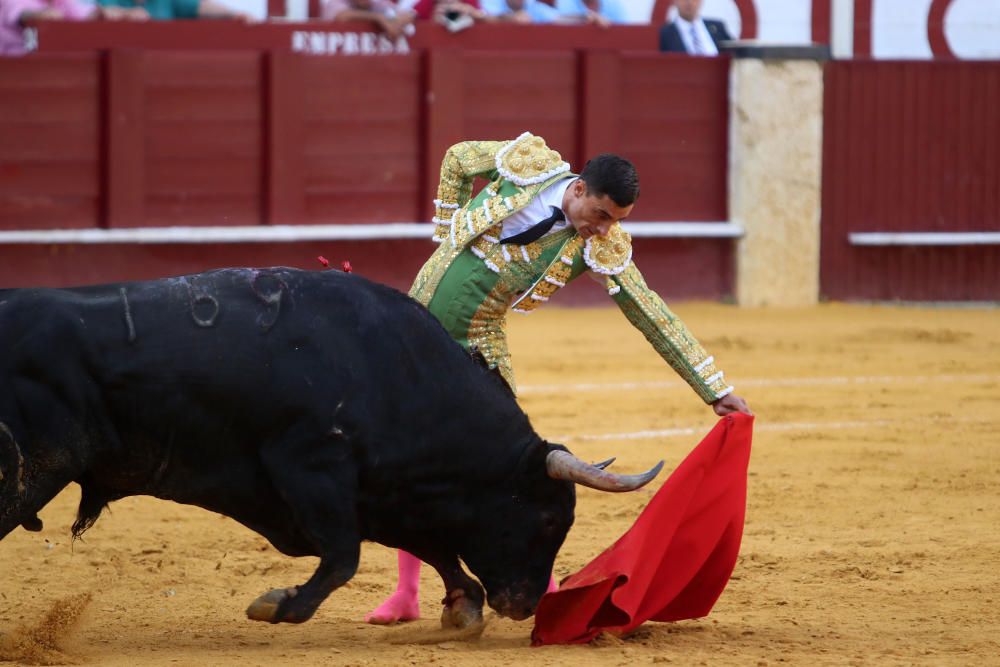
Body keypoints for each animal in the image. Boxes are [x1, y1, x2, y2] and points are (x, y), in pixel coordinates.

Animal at [1, 266, 664, 628]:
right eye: (550, 518)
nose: (524, 605)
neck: (398, 373)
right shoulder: (311, 467)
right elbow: (345, 556)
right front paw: (278, 604)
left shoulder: (384, 489)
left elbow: (429, 543)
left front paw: (463, 606)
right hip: (27, 474)